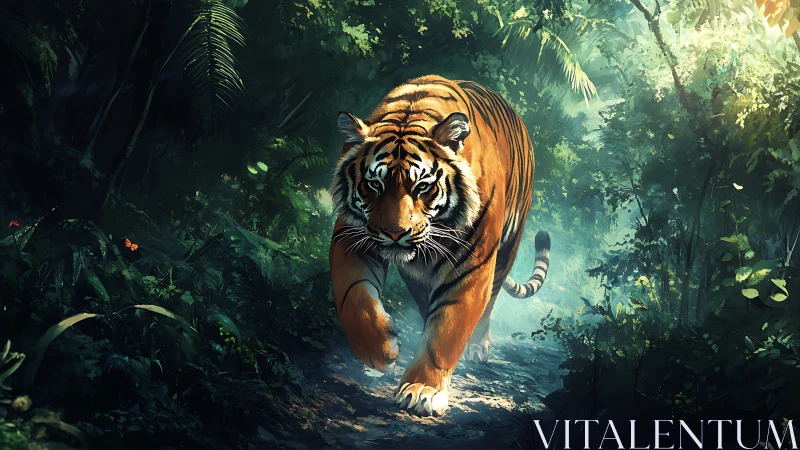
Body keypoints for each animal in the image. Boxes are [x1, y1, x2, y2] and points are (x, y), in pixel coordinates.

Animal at [329, 74, 551, 417]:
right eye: (374, 185)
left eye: (422, 187)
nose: (395, 233)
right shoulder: (353, 238)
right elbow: (353, 299)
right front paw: (380, 350)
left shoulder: (471, 264)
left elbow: (447, 329)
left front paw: (423, 389)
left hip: (506, 249)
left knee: (489, 304)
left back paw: (477, 346)